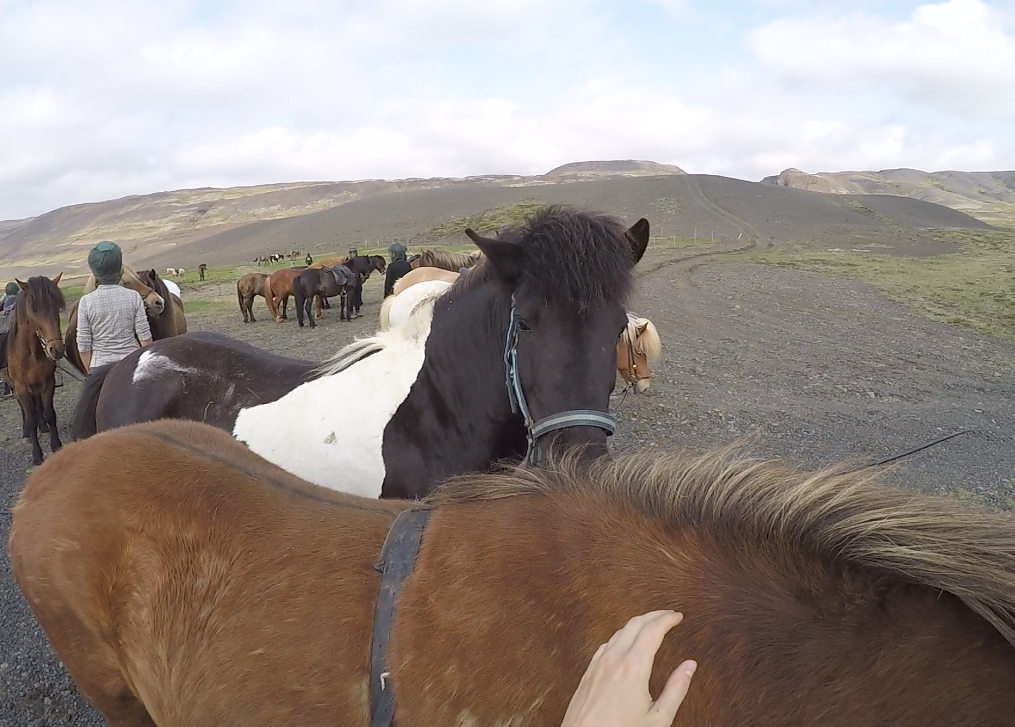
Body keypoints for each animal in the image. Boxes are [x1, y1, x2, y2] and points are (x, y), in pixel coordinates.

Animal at [1, 275, 66, 464]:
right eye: (34, 310)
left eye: (56, 306)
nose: (56, 350)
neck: (30, 352)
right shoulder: (21, 387)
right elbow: (29, 419)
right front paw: (37, 455)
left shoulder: (47, 382)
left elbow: (50, 413)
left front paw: (56, 444)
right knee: (24, 410)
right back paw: (27, 433)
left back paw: (42, 426)